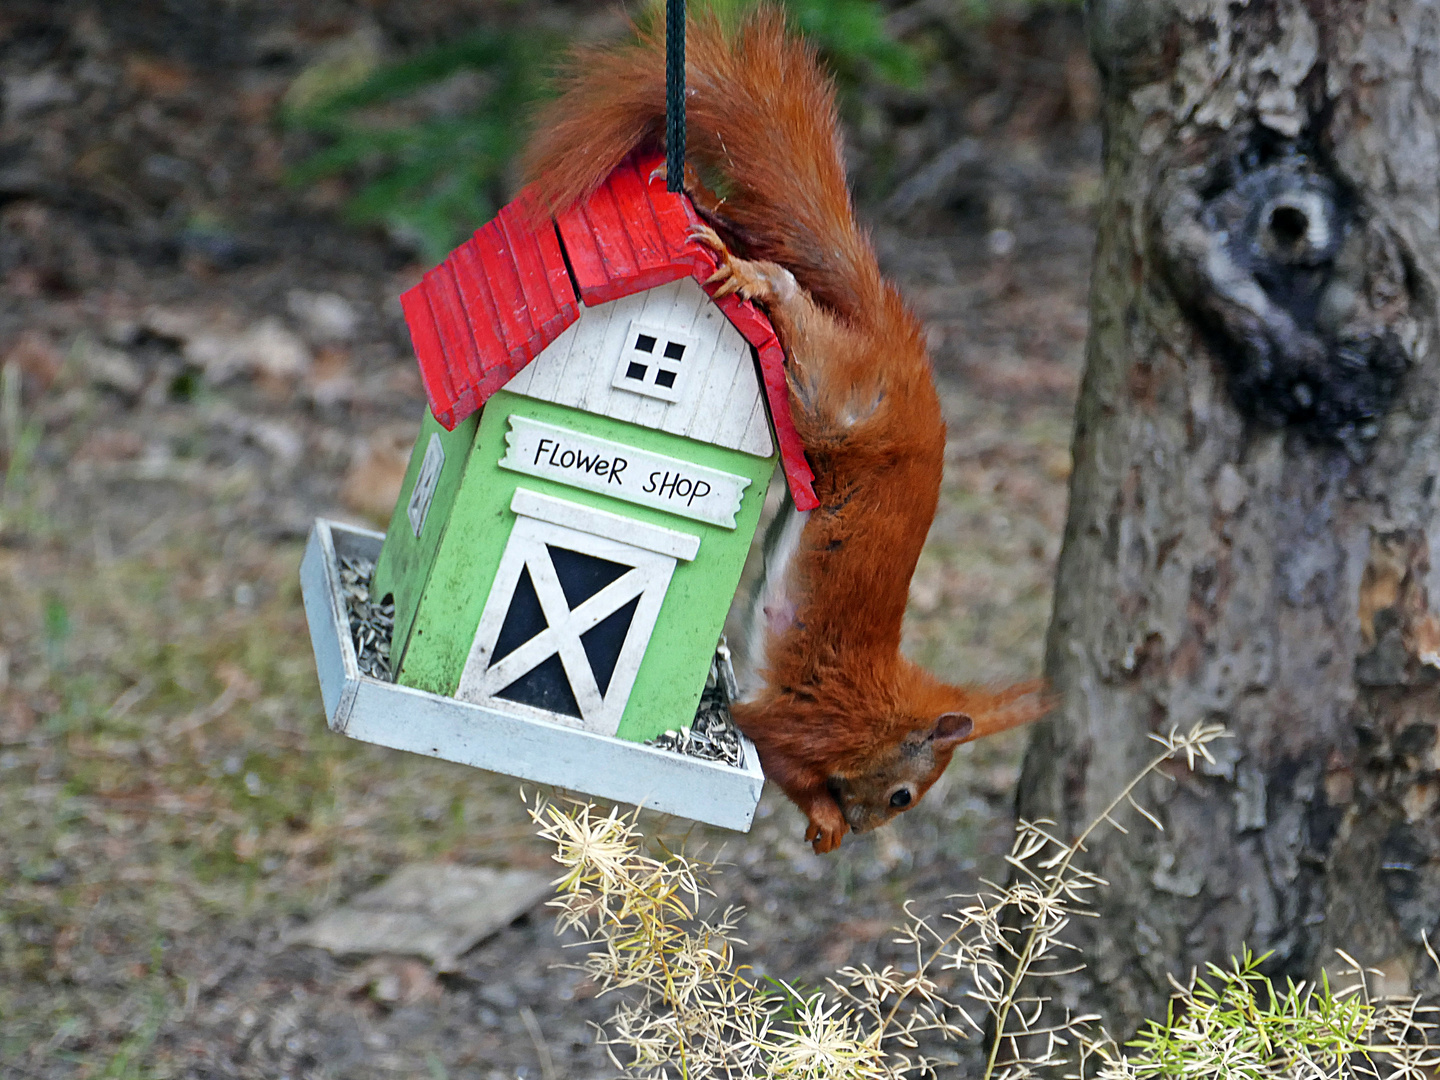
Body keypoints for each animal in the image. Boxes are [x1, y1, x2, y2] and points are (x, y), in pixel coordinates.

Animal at [524, 6, 1042, 852]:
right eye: (903, 795)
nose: (866, 831)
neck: (878, 705)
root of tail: (903, 355)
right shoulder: (803, 719)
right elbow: (782, 757)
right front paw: (825, 823)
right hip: (833, 396)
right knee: (794, 297)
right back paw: (747, 271)